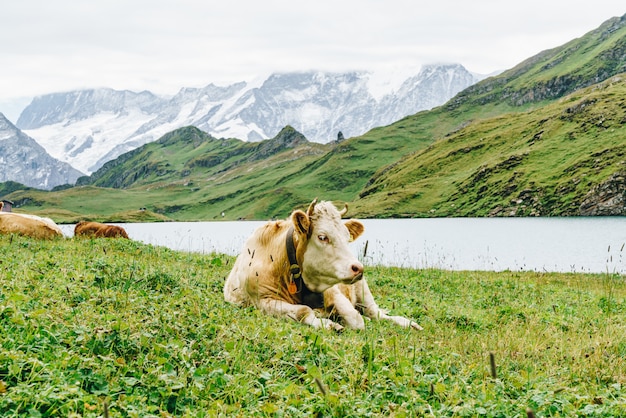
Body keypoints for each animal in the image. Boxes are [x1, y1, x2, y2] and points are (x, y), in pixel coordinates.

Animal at [222, 198, 422, 332]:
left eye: (346, 236)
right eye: (322, 237)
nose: (358, 268)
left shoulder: (333, 291)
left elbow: (356, 320)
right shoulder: (262, 300)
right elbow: (304, 311)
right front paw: (328, 323)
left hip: (363, 292)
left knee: (377, 313)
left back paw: (408, 323)